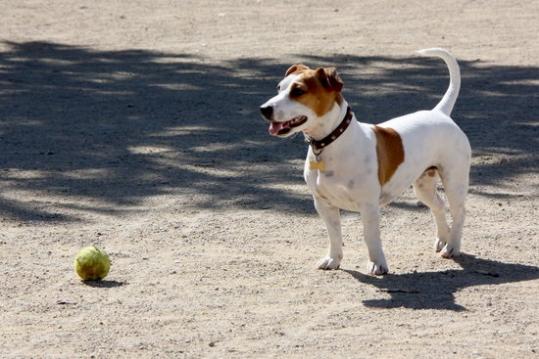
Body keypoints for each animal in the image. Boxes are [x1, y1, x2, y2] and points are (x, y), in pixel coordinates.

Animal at [260, 47, 470, 276]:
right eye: (279, 88)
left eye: (298, 91)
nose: (264, 108)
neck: (331, 143)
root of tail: (440, 113)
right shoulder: (323, 204)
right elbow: (334, 235)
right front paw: (333, 260)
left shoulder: (368, 206)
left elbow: (371, 236)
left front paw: (378, 264)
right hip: (423, 185)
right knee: (439, 206)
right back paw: (442, 239)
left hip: (454, 182)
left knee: (459, 212)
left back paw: (452, 246)